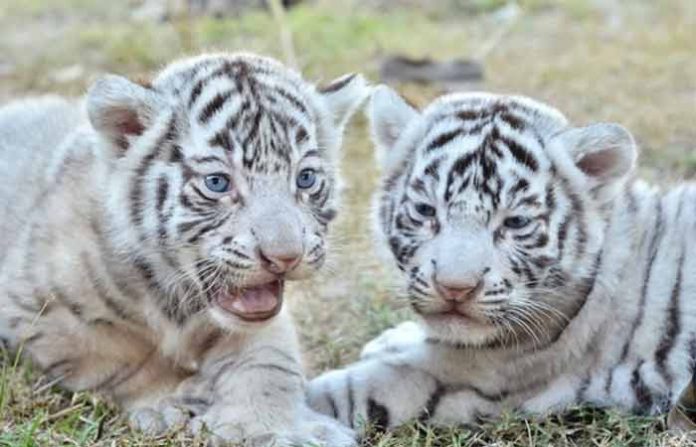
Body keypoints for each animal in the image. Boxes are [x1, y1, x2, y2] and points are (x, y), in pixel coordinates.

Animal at [0, 52, 368, 446]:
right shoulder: (39, 312)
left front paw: (273, 426)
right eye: (217, 182)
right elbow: (123, 357)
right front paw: (167, 402)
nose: (286, 256)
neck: (175, 298)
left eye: (305, 178)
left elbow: (268, 361)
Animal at [308, 85, 696, 434]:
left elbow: (347, 391)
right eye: (426, 211)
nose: (455, 288)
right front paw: (391, 338)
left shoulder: (469, 378)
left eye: (515, 223)